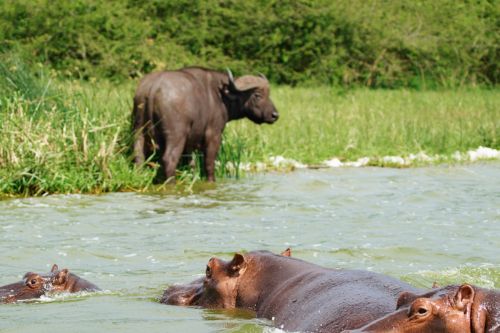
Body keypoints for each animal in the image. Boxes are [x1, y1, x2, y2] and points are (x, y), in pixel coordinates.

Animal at [131, 67, 280, 182]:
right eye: (257, 94)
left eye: (269, 94)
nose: (275, 115)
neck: (222, 96)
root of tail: (154, 87)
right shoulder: (214, 135)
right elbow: (209, 162)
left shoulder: (190, 143)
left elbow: (191, 163)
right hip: (176, 135)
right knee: (169, 159)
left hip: (138, 130)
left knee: (138, 156)